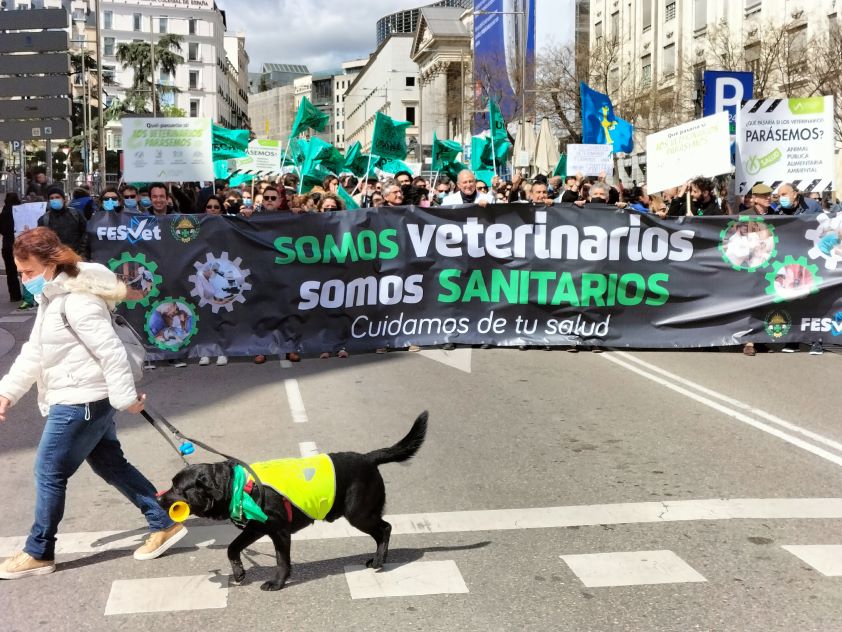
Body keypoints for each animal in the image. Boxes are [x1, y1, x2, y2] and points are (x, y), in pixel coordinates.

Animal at [159, 412, 426, 592]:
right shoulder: (256, 528)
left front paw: (278, 582)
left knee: (385, 528)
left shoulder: (279, 531)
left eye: (177, 488)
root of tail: (368, 458)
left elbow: (281, 560)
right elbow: (231, 548)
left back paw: (380, 560)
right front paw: (239, 572)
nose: (159, 498)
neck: (235, 485)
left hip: (359, 513)